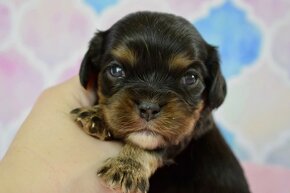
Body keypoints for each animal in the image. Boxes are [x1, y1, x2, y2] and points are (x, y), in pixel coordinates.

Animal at [71, 11, 251, 193]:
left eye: (191, 78)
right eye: (116, 70)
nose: (148, 109)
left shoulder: (184, 134)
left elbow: (151, 148)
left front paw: (127, 166)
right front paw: (96, 115)